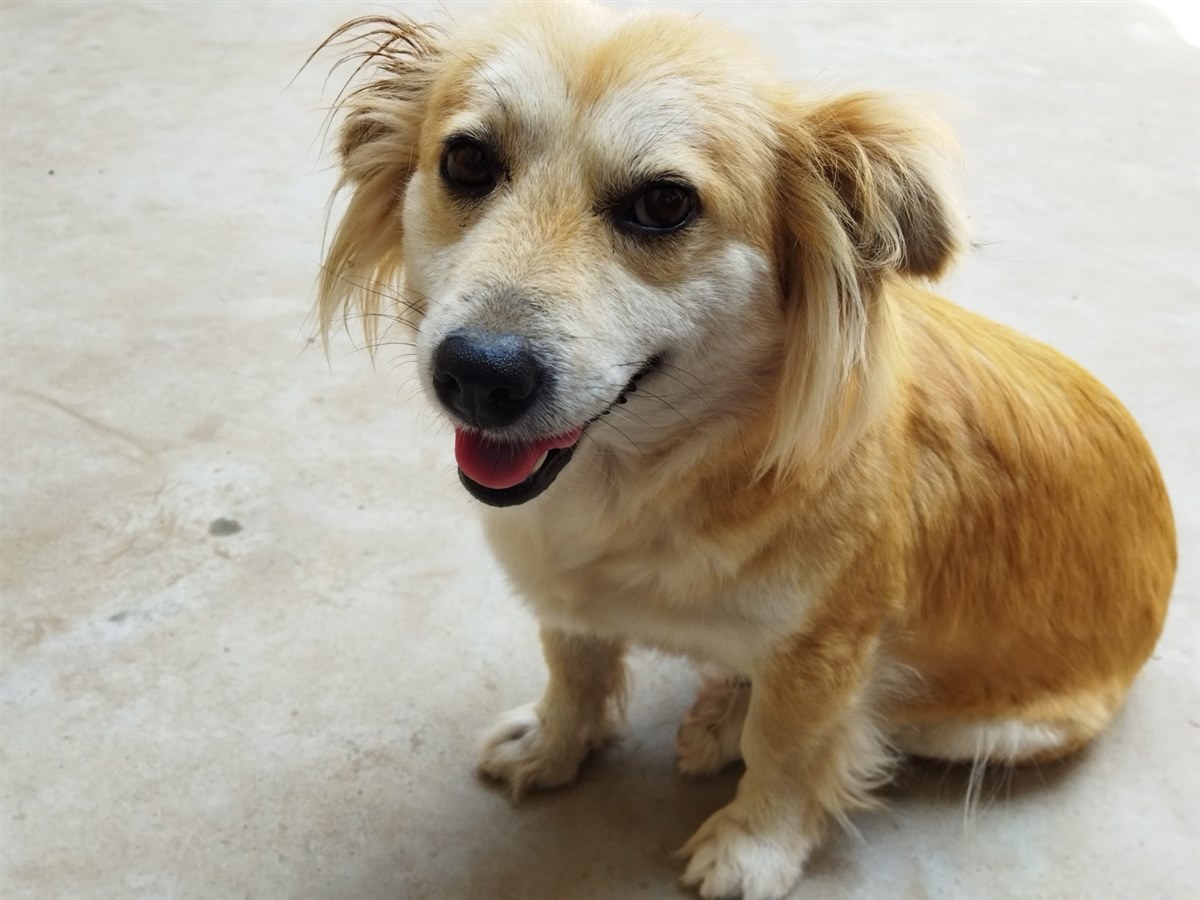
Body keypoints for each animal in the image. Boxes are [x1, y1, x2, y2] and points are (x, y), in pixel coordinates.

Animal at [312, 3, 1177, 897]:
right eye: (468, 161)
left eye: (664, 204)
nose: (479, 376)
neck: (656, 472)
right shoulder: (567, 598)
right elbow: (575, 668)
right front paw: (556, 743)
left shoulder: (825, 653)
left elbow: (790, 749)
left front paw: (754, 844)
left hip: (987, 728)